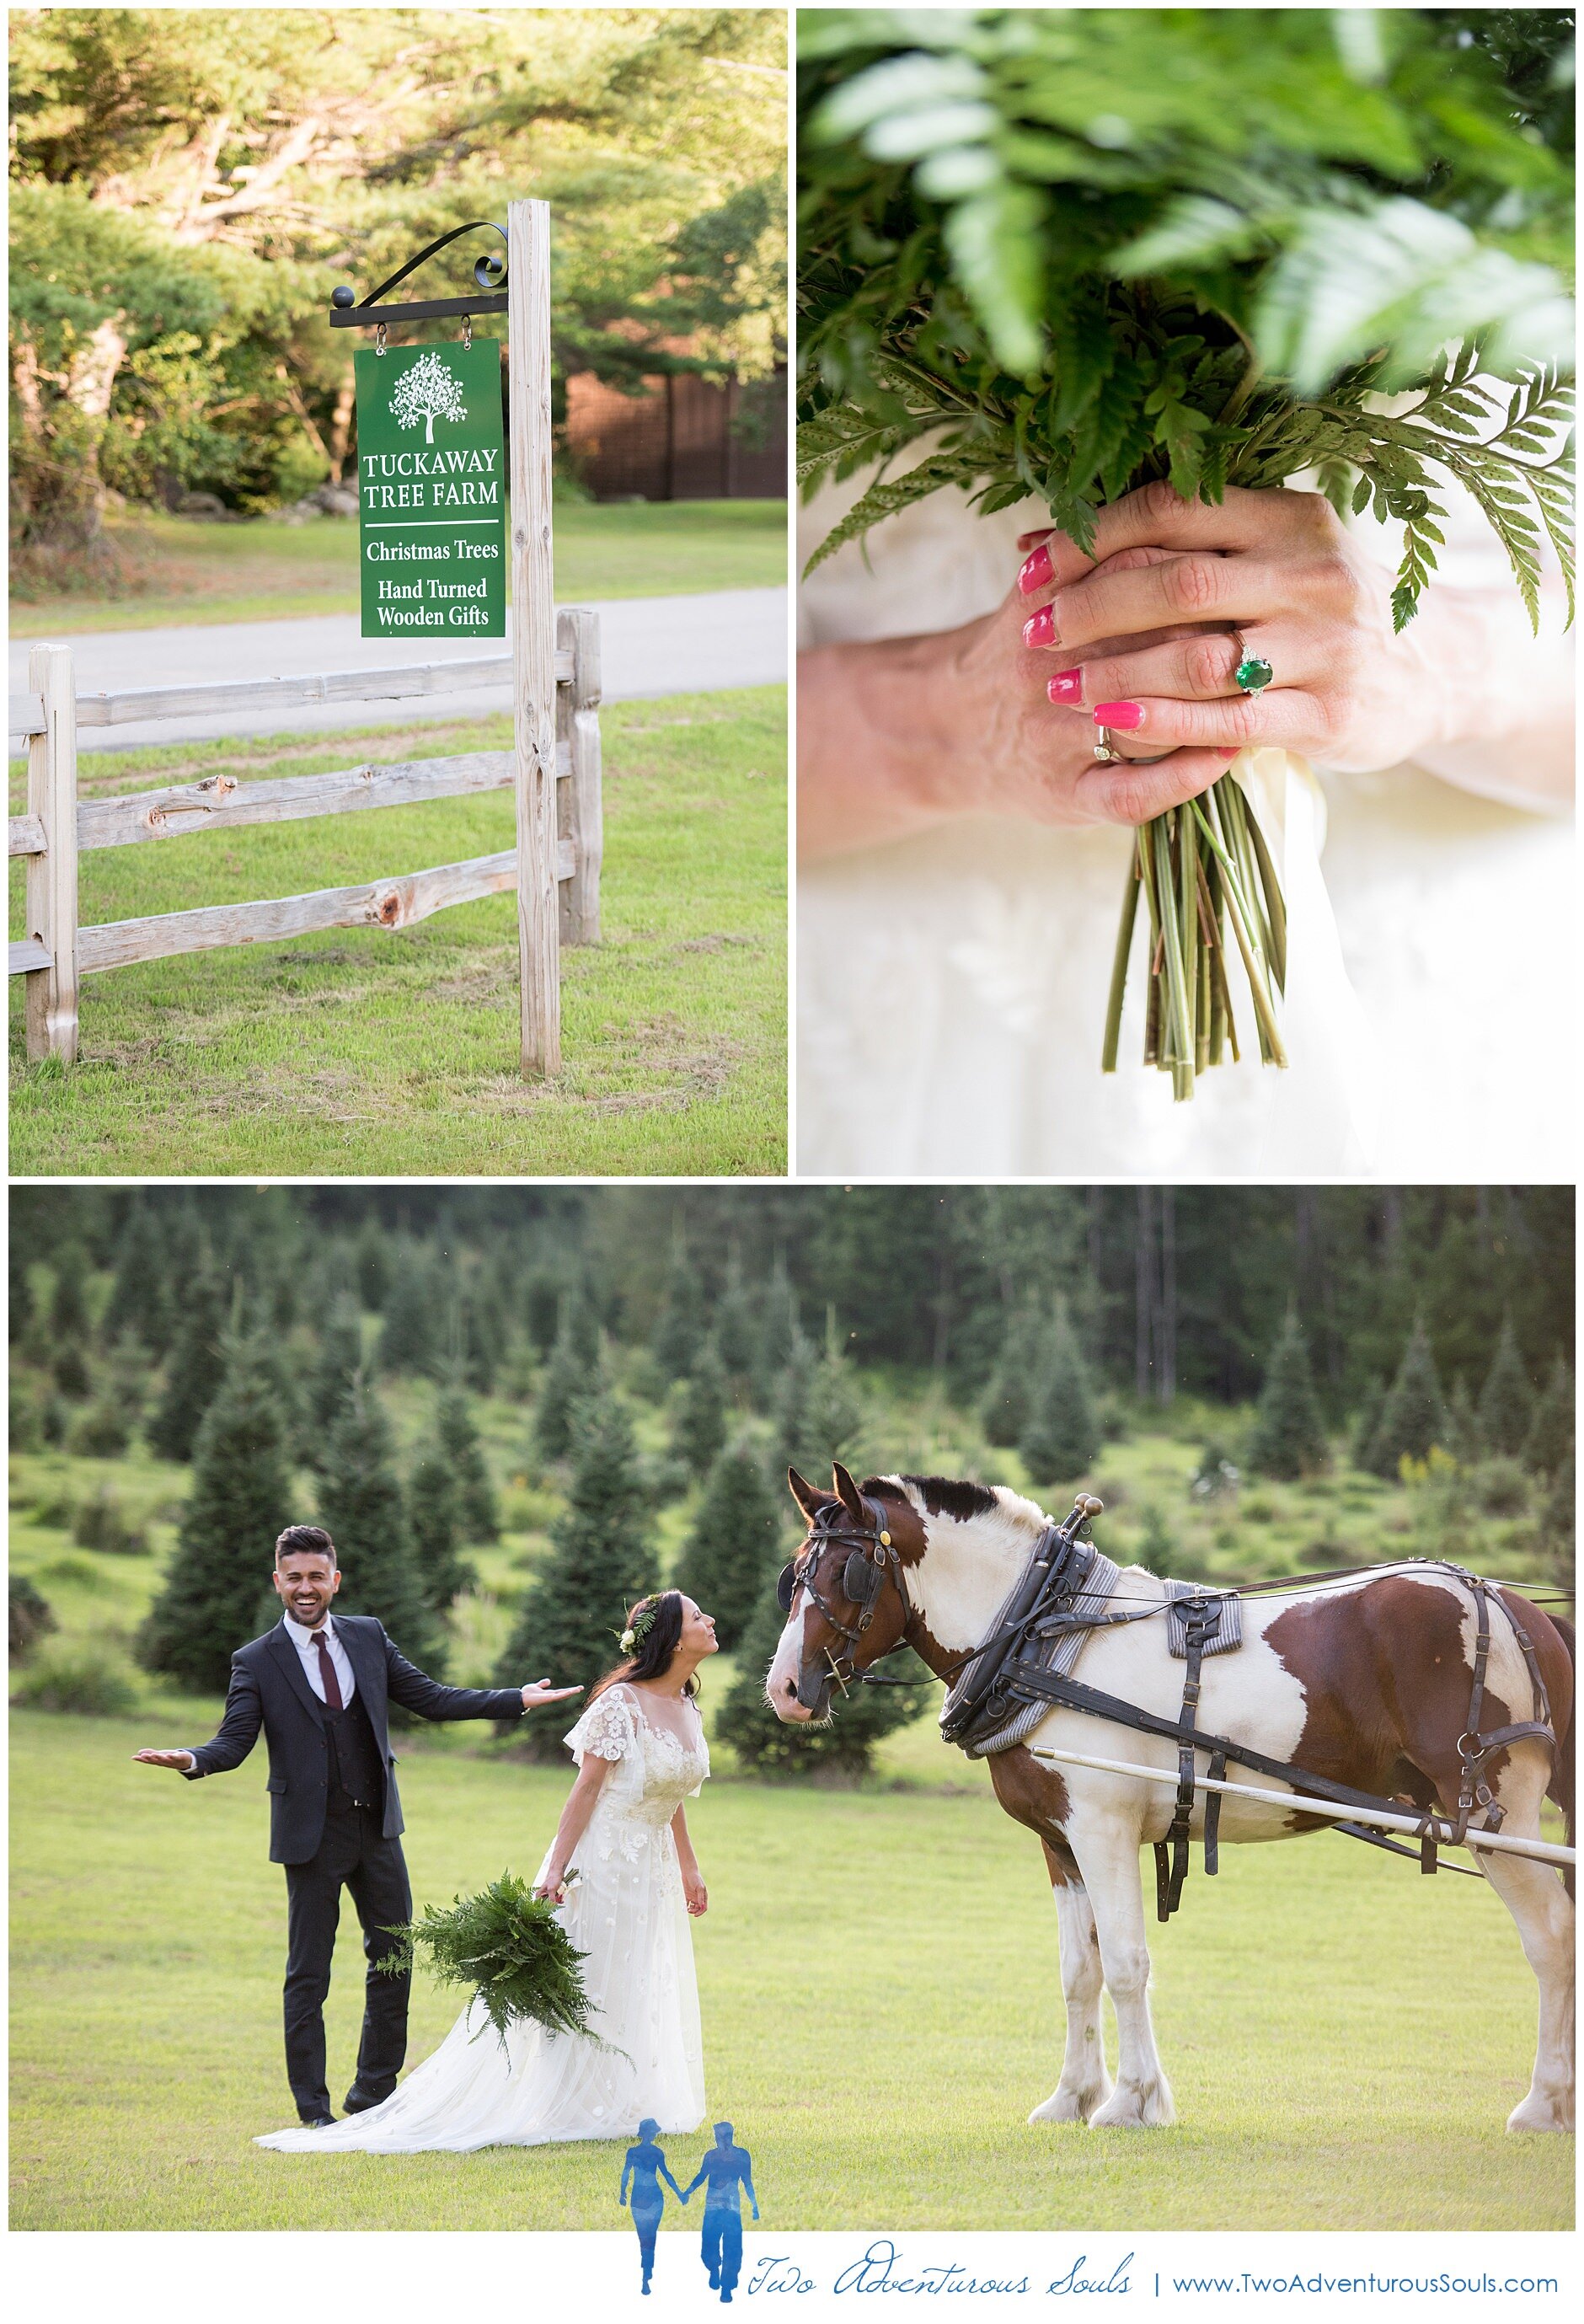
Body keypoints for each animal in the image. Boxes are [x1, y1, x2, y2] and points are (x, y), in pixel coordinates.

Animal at [766, 1459, 1570, 2129]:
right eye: (795, 1574)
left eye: (848, 1573)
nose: (785, 1690)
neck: (1042, 1636)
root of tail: (1518, 1609)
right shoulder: (1061, 1842)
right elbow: (1080, 1973)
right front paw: (1071, 2096)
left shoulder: (1104, 1828)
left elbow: (1126, 1965)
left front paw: (1131, 2101)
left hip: (1497, 1814)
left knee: (1552, 1936)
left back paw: (1544, 2102)